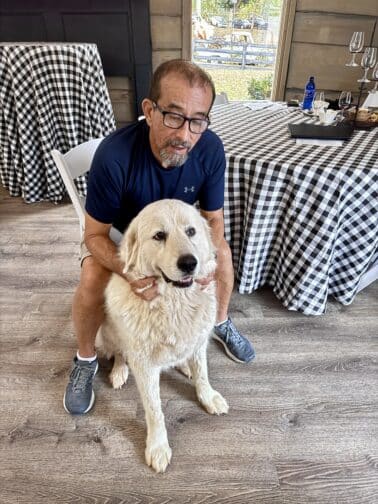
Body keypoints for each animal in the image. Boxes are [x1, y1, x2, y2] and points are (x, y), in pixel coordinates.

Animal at [96, 200, 229, 472]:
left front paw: (208, 397)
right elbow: (154, 409)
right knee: (119, 353)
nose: (189, 263)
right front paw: (157, 446)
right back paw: (119, 371)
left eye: (191, 231)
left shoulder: (198, 341)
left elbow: (202, 374)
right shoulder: (144, 365)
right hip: (108, 332)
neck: (174, 305)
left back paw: (183, 366)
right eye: (159, 236)